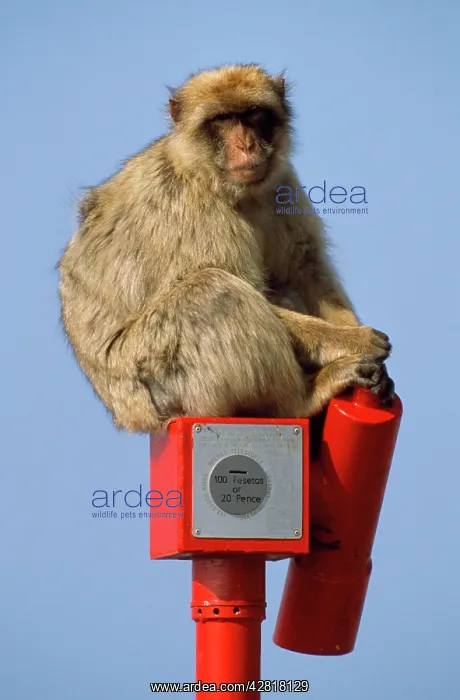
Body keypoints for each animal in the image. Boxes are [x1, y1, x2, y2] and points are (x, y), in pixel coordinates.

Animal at [58, 63, 394, 434]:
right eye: (222, 120)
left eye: (254, 115)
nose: (246, 145)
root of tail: (130, 417)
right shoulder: (195, 211)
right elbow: (247, 291)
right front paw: (350, 340)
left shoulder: (283, 183)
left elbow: (306, 268)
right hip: (154, 378)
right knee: (211, 291)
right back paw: (299, 400)